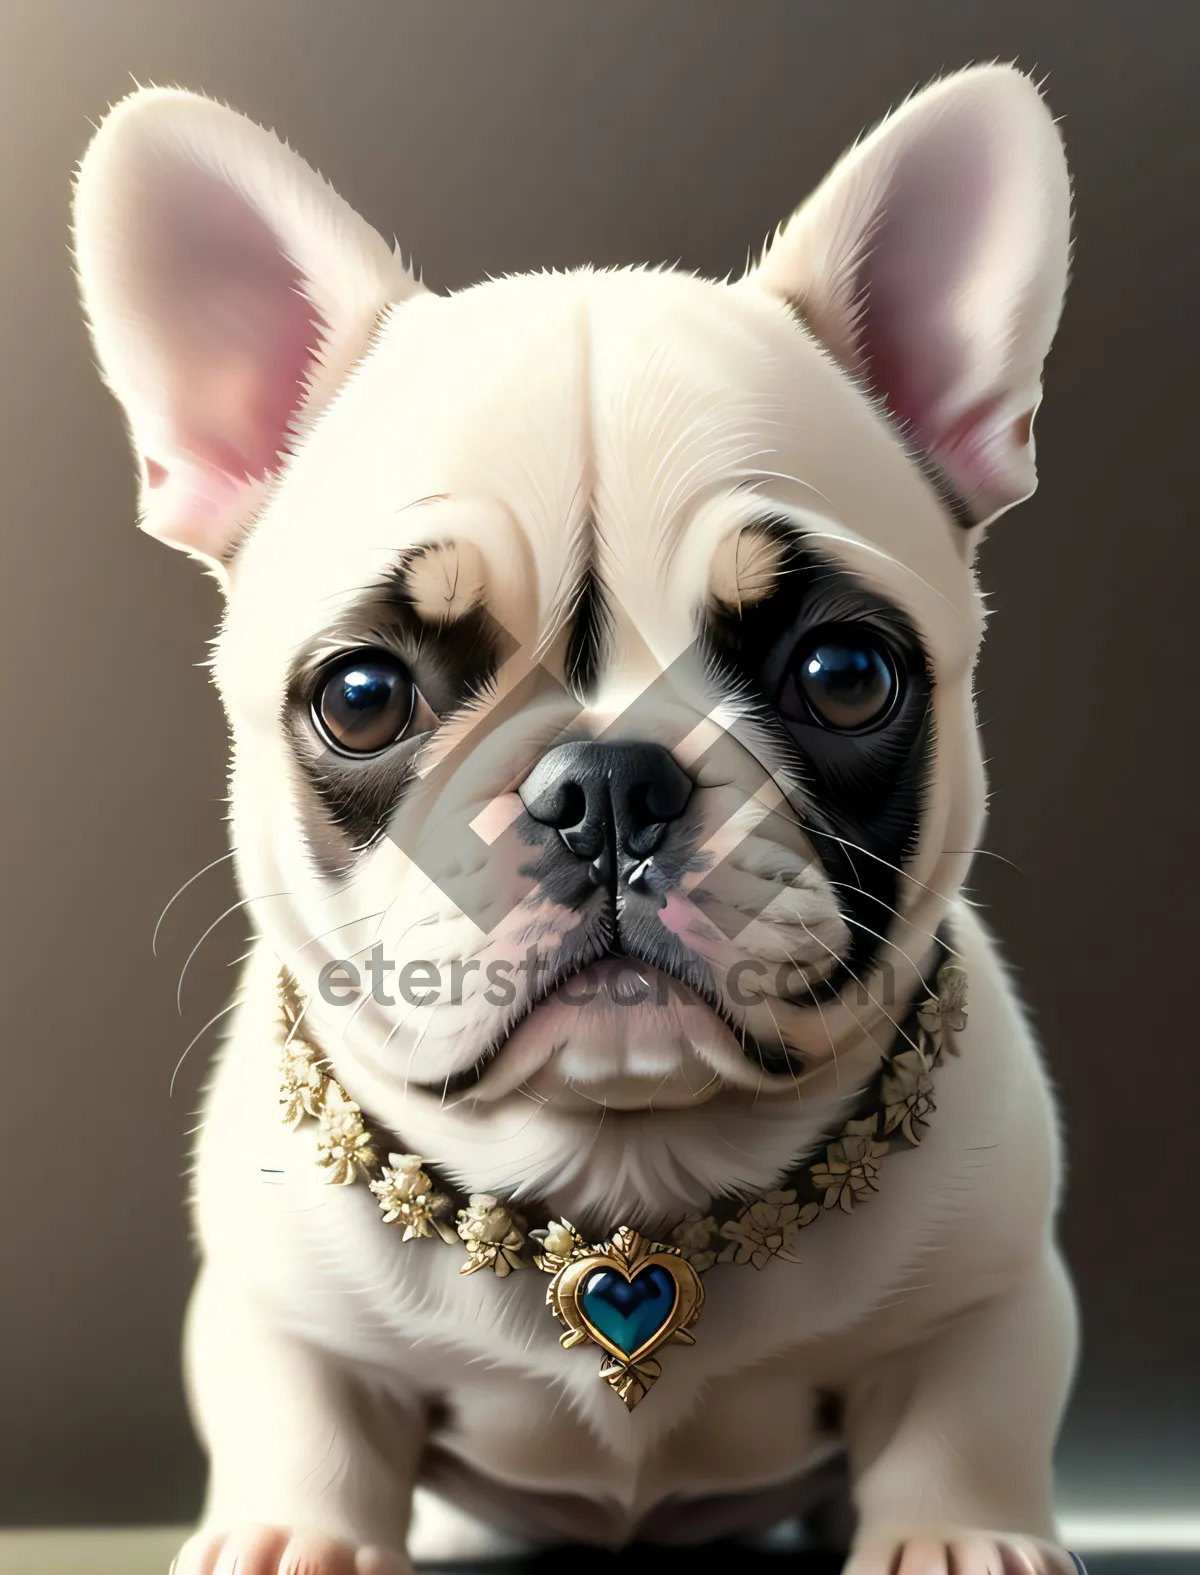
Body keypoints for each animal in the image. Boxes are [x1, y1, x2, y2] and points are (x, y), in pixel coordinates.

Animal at [79, 61, 1077, 1575]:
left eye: (846, 675)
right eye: (362, 696)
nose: (606, 784)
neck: (625, 1162)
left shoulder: (994, 1289)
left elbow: (967, 1415)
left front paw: (960, 1539)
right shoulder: (276, 1312)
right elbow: (304, 1415)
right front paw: (294, 1538)